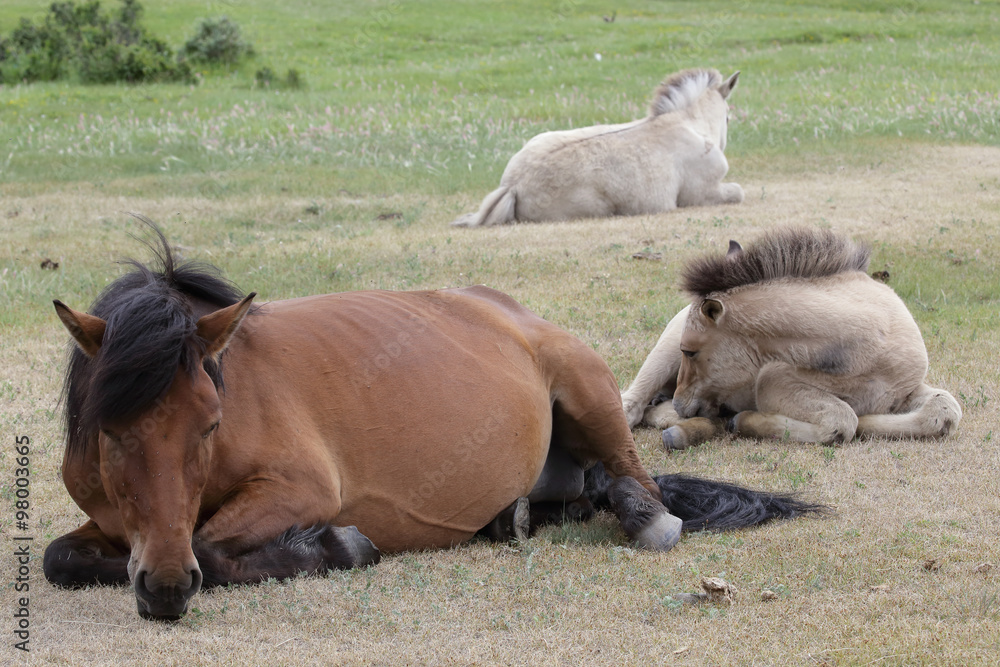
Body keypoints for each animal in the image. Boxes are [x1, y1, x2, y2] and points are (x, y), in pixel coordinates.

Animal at [45, 223, 820, 620]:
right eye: (110, 432)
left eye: (209, 424)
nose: (166, 587)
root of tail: (507, 308)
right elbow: (61, 559)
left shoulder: (300, 490)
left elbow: (210, 543)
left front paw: (337, 545)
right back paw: (514, 517)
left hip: (586, 384)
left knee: (637, 478)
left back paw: (642, 516)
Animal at [621, 227, 963, 446]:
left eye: (691, 352)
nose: (681, 404)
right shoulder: (773, 384)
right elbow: (843, 420)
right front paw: (744, 421)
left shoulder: (907, 389)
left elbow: (944, 410)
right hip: (662, 357)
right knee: (634, 405)